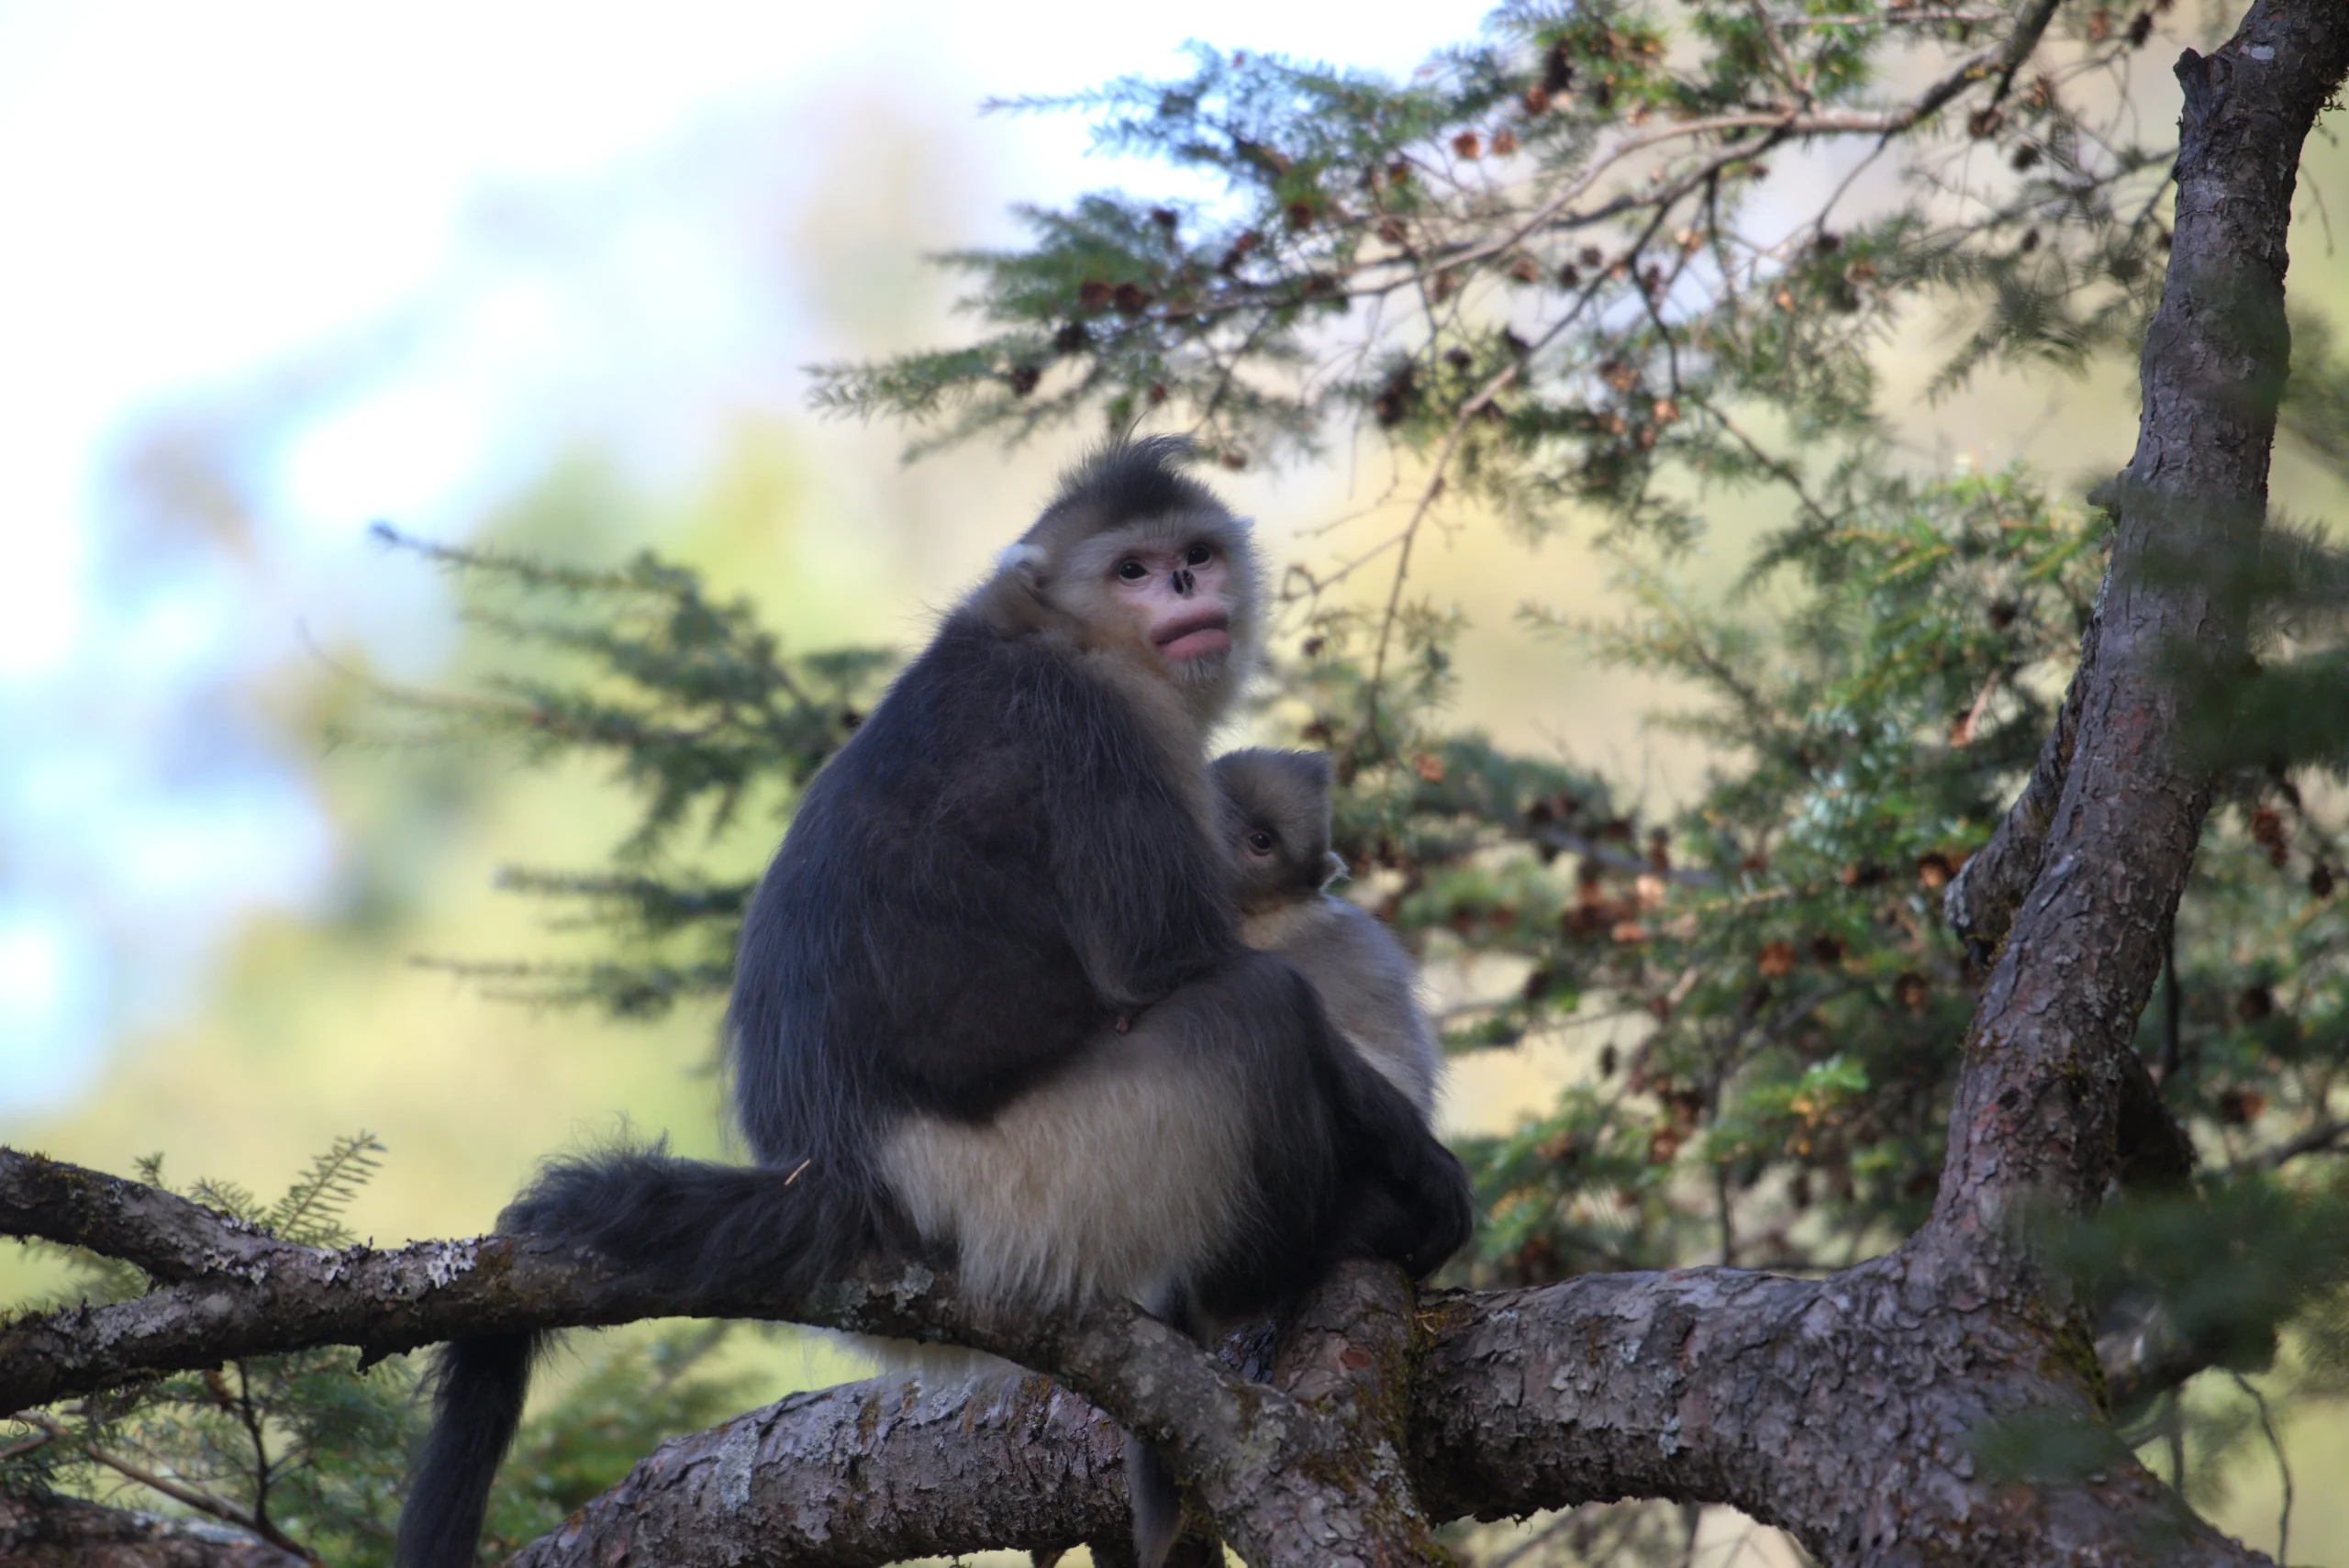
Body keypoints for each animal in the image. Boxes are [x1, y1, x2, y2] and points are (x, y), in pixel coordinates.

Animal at [394, 437, 1475, 1568]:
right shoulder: (1098, 728)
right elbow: (1175, 969)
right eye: (1133, 569)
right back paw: (1293, 1257)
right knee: (1257, 1014)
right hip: (1044, 1179)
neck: (1045, 629)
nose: (1187, 589)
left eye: (1195, 554)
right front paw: (1426, 1171)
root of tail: (845, 1181)